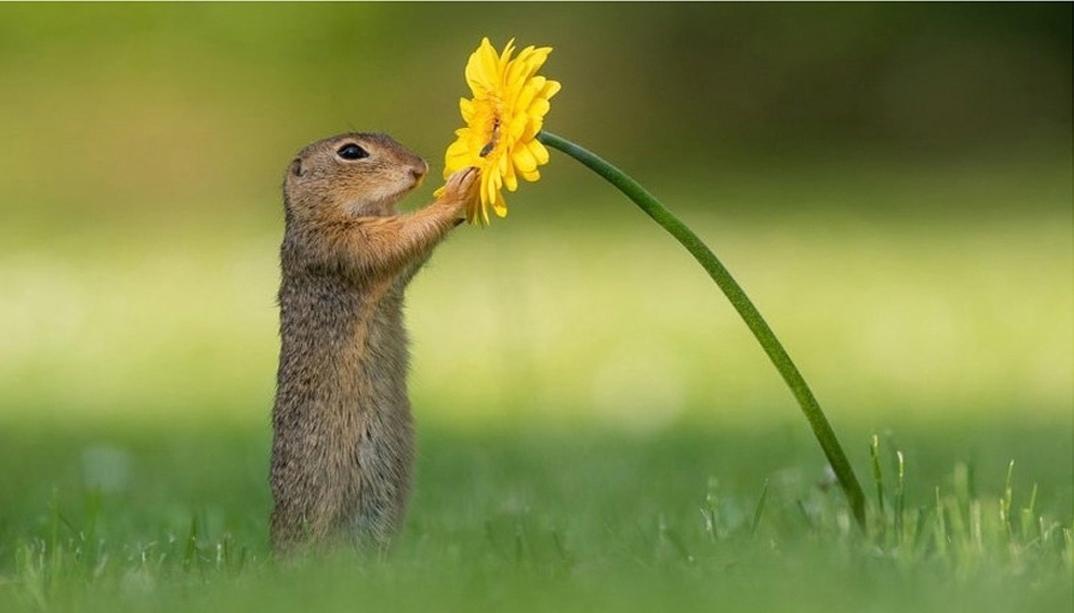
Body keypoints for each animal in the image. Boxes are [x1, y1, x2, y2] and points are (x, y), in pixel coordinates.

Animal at [270, 133, 476, 549]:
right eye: (351, 152)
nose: (419, 168)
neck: (318, 216)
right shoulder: (342, 244)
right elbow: (399, 236)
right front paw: (456, 192)